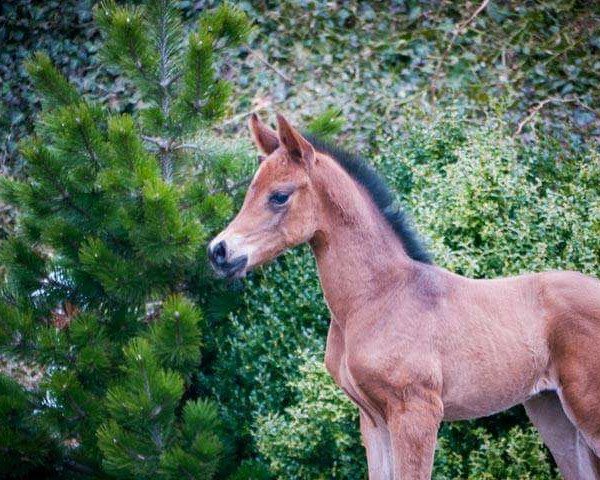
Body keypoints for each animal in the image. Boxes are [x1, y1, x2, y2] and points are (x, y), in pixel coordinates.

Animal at [207, 113, 600, 480]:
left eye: (279, 196)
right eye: (250, 192)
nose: (219, 252)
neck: (378, 296)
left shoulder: (416, 413)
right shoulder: (373, 420)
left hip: (586, 407)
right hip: (552, 411)